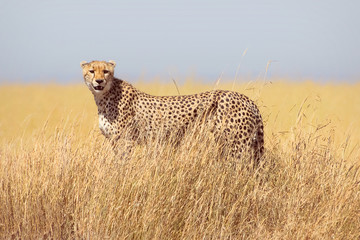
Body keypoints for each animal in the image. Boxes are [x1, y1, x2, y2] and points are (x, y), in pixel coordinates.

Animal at [80, 60, 262, 162]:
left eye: (105, 71)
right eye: (92, 71)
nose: (99, 81)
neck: (104, 95)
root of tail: (245, 98)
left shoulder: (125, 140)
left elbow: (121, 165)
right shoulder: (114, 141)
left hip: (237, 144)